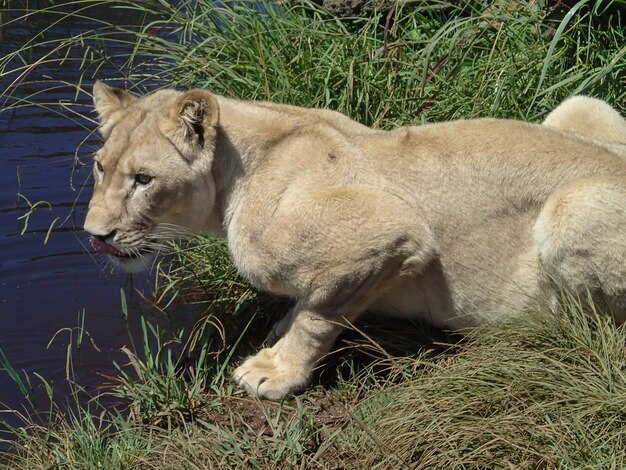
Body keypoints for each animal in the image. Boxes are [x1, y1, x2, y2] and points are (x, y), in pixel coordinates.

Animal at [85, 82, 624, 398]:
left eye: (143, 180)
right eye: (100, 166)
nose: (95, 236)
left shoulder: (394, 231)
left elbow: (319, 315)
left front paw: (275, 371)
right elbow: (304, 305)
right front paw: (280, 331)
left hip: (570, 210)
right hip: (582, 106)